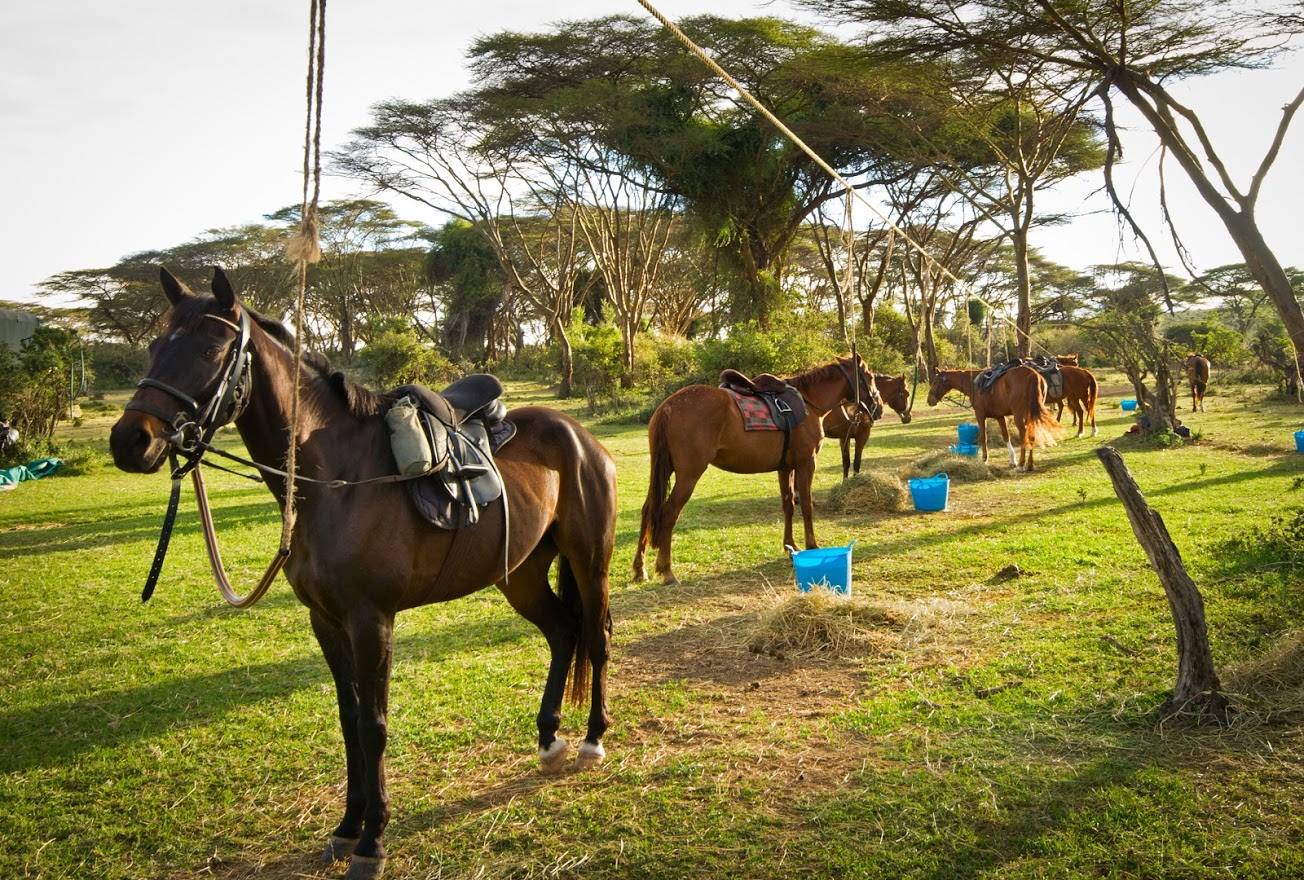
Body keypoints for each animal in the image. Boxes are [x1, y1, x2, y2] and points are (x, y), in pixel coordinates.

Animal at [109, 268, 618, 880]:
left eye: (209, 349)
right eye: (155, 347)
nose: (130, 440)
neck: (335, 480)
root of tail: (578, 434)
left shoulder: (370, 619)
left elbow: (374, 726)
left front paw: (372, 841)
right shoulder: (326, 621)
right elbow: (350, 719)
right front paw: (348, 827)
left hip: (589, 562)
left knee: (596, 638)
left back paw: (592, 739)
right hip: (518, 574)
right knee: (563, 633)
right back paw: (549, 739)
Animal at [632, 356, 883, 585]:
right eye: (869, 377)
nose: (878, 408)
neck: (808, 403)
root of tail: (668, 406)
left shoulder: (786, 467)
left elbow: (788, 505)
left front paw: (790, 546)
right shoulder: (806, 463)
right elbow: (807, 506)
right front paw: (812, 545)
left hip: (663, 469)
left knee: (647, 510)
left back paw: (639, 568)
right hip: (688, 475)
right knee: (668, 513)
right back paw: (666, 571)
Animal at [926, 366, 1059, 471]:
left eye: (935, 382)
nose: (929, 401)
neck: (974, 384)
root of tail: (1033, 375)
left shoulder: (980, 415)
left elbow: (983, 437)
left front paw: (984, 459)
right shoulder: (1000, 417)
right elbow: (1006, 436)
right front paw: (1012, 460)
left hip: (1019, 415)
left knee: (1024, 434)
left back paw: (1022, 464)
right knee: (1031, 435)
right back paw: (1029, 465)